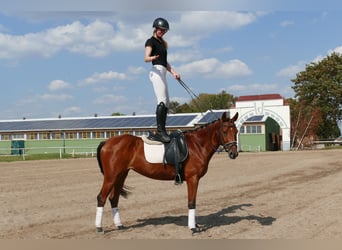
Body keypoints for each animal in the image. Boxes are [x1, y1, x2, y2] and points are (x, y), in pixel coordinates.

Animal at [95, 112, 239, 233]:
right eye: (225, 131)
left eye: (236, 131)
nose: (234, 153)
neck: (197, 145)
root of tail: (106, 142)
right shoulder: (193, 179)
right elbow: (191, 202)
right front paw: (193, 227)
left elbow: (193, 201)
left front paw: (195, 224)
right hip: (111, 177)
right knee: (101, 197)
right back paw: (99, 228)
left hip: (121, 175)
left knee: (114, 198)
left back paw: (119, 225)